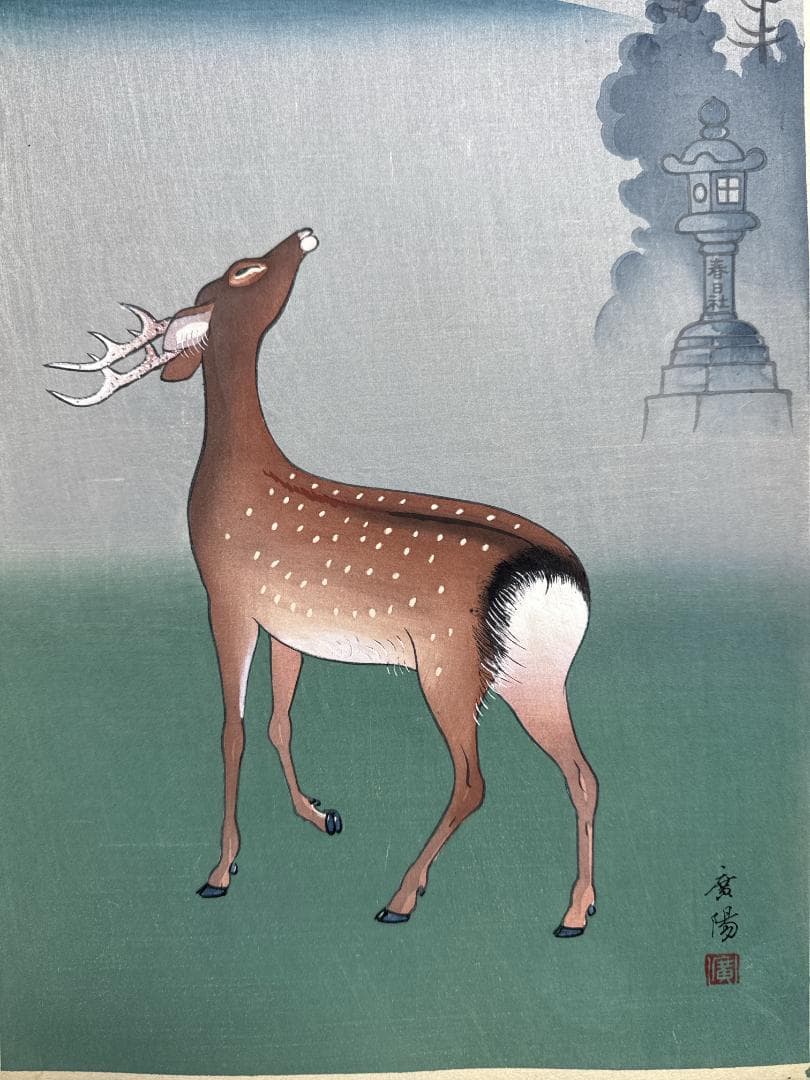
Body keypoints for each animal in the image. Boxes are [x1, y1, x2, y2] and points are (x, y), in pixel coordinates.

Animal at [47, 228, 598, 935]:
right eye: (243, 269)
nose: (302, 235)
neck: (239, 478)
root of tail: (561, 577)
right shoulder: (283, 623)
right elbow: (277, 721)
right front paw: (318, 813)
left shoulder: (226, 596)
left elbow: (232, 731)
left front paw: (219, 871)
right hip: (535, 673)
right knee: (581, 773)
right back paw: (577, 911)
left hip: (448, 664)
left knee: (475, 780)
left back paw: (401, 897)